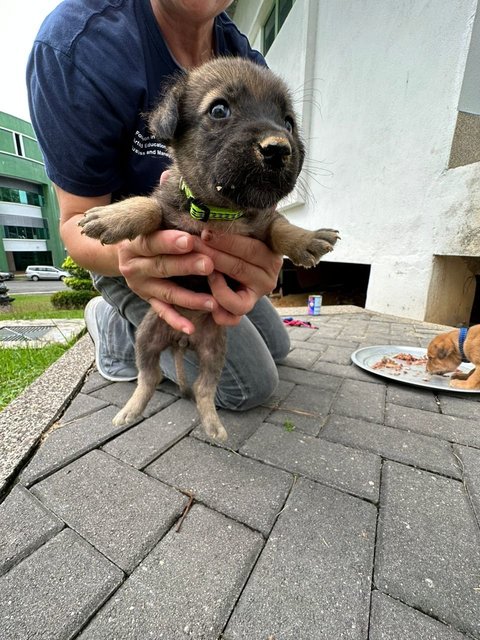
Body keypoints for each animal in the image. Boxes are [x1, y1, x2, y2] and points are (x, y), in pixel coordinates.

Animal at [79, 56, 340, 440]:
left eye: (288, 123)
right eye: (219, 110)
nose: (279, 148)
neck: (220, 211)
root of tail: (182, 340)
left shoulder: (262, 224)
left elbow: (280, 226)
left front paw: (307, 238)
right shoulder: (167, 209)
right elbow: (149, 206)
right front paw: (115, 216)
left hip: (215, 349)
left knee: (202, 388)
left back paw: (213, 424)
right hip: (147, 335)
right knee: (148, 378)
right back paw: (131, 410)